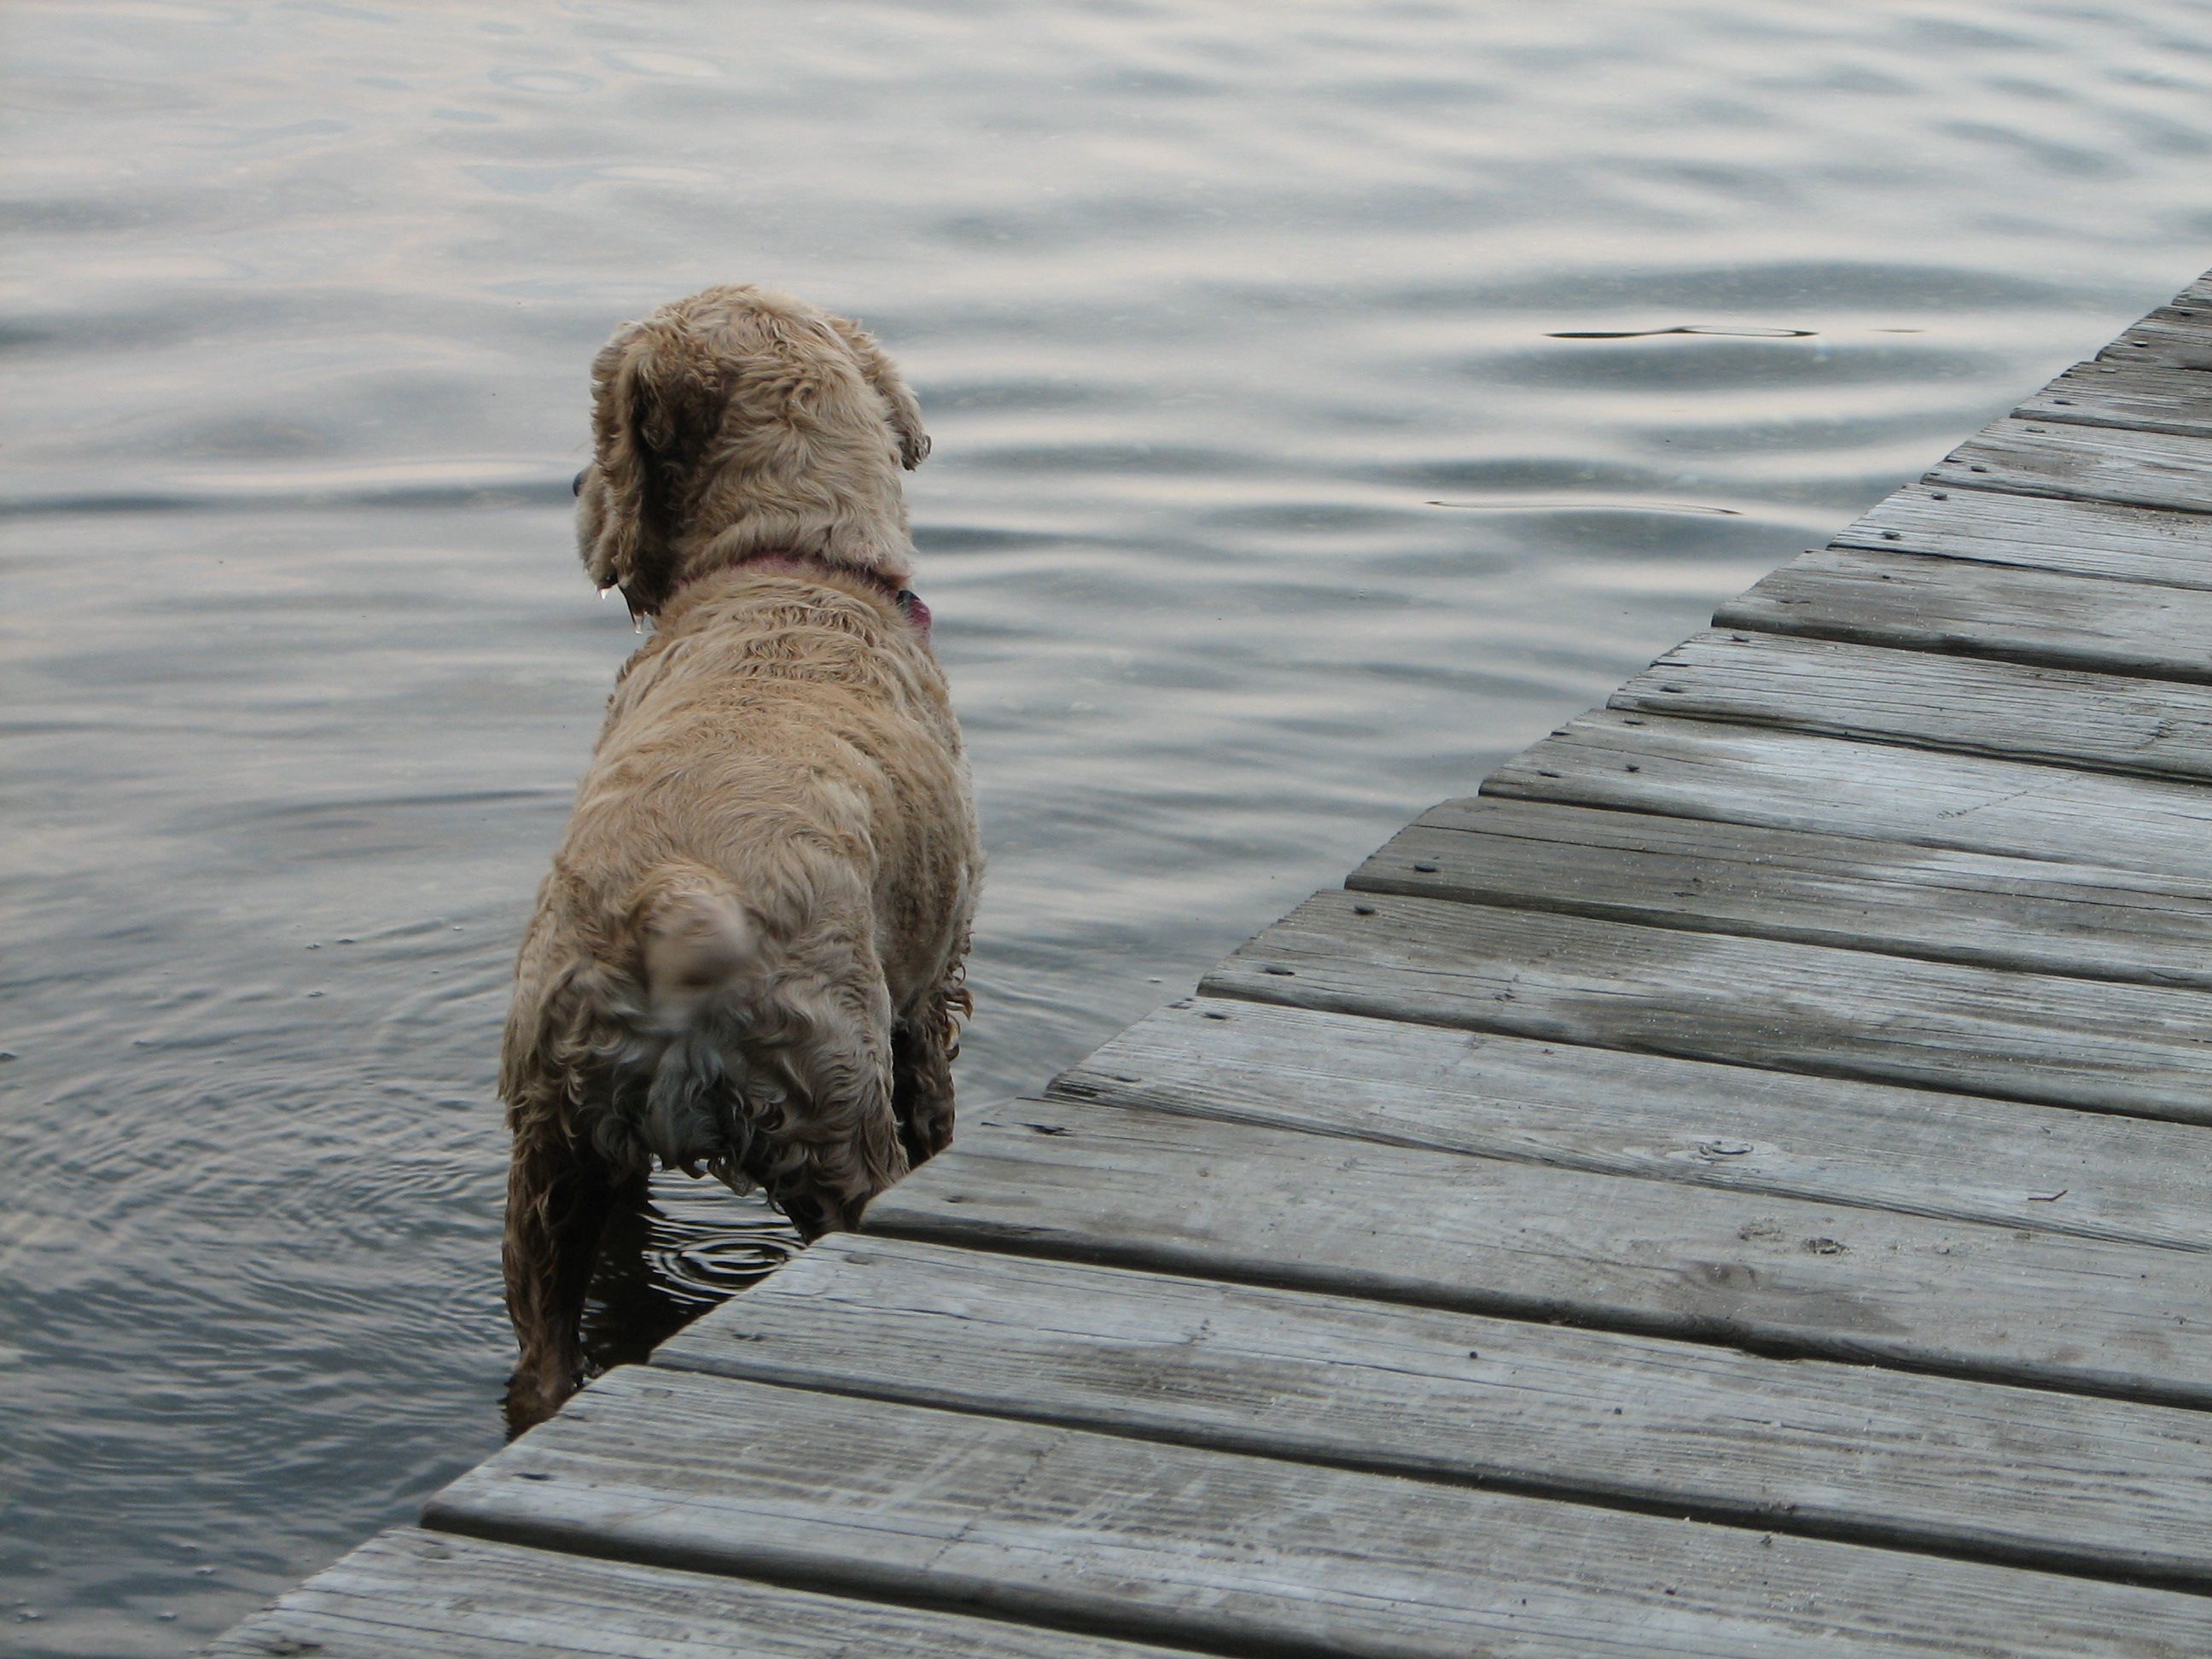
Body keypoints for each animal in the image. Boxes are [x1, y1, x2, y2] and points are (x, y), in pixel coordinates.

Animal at [506, 289, 991, 1433]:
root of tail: (667, 902)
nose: (576, 487)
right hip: (839, 1118)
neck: (789, 563)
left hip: (554, 1149)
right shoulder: (927, 999)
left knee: (543, 1361)